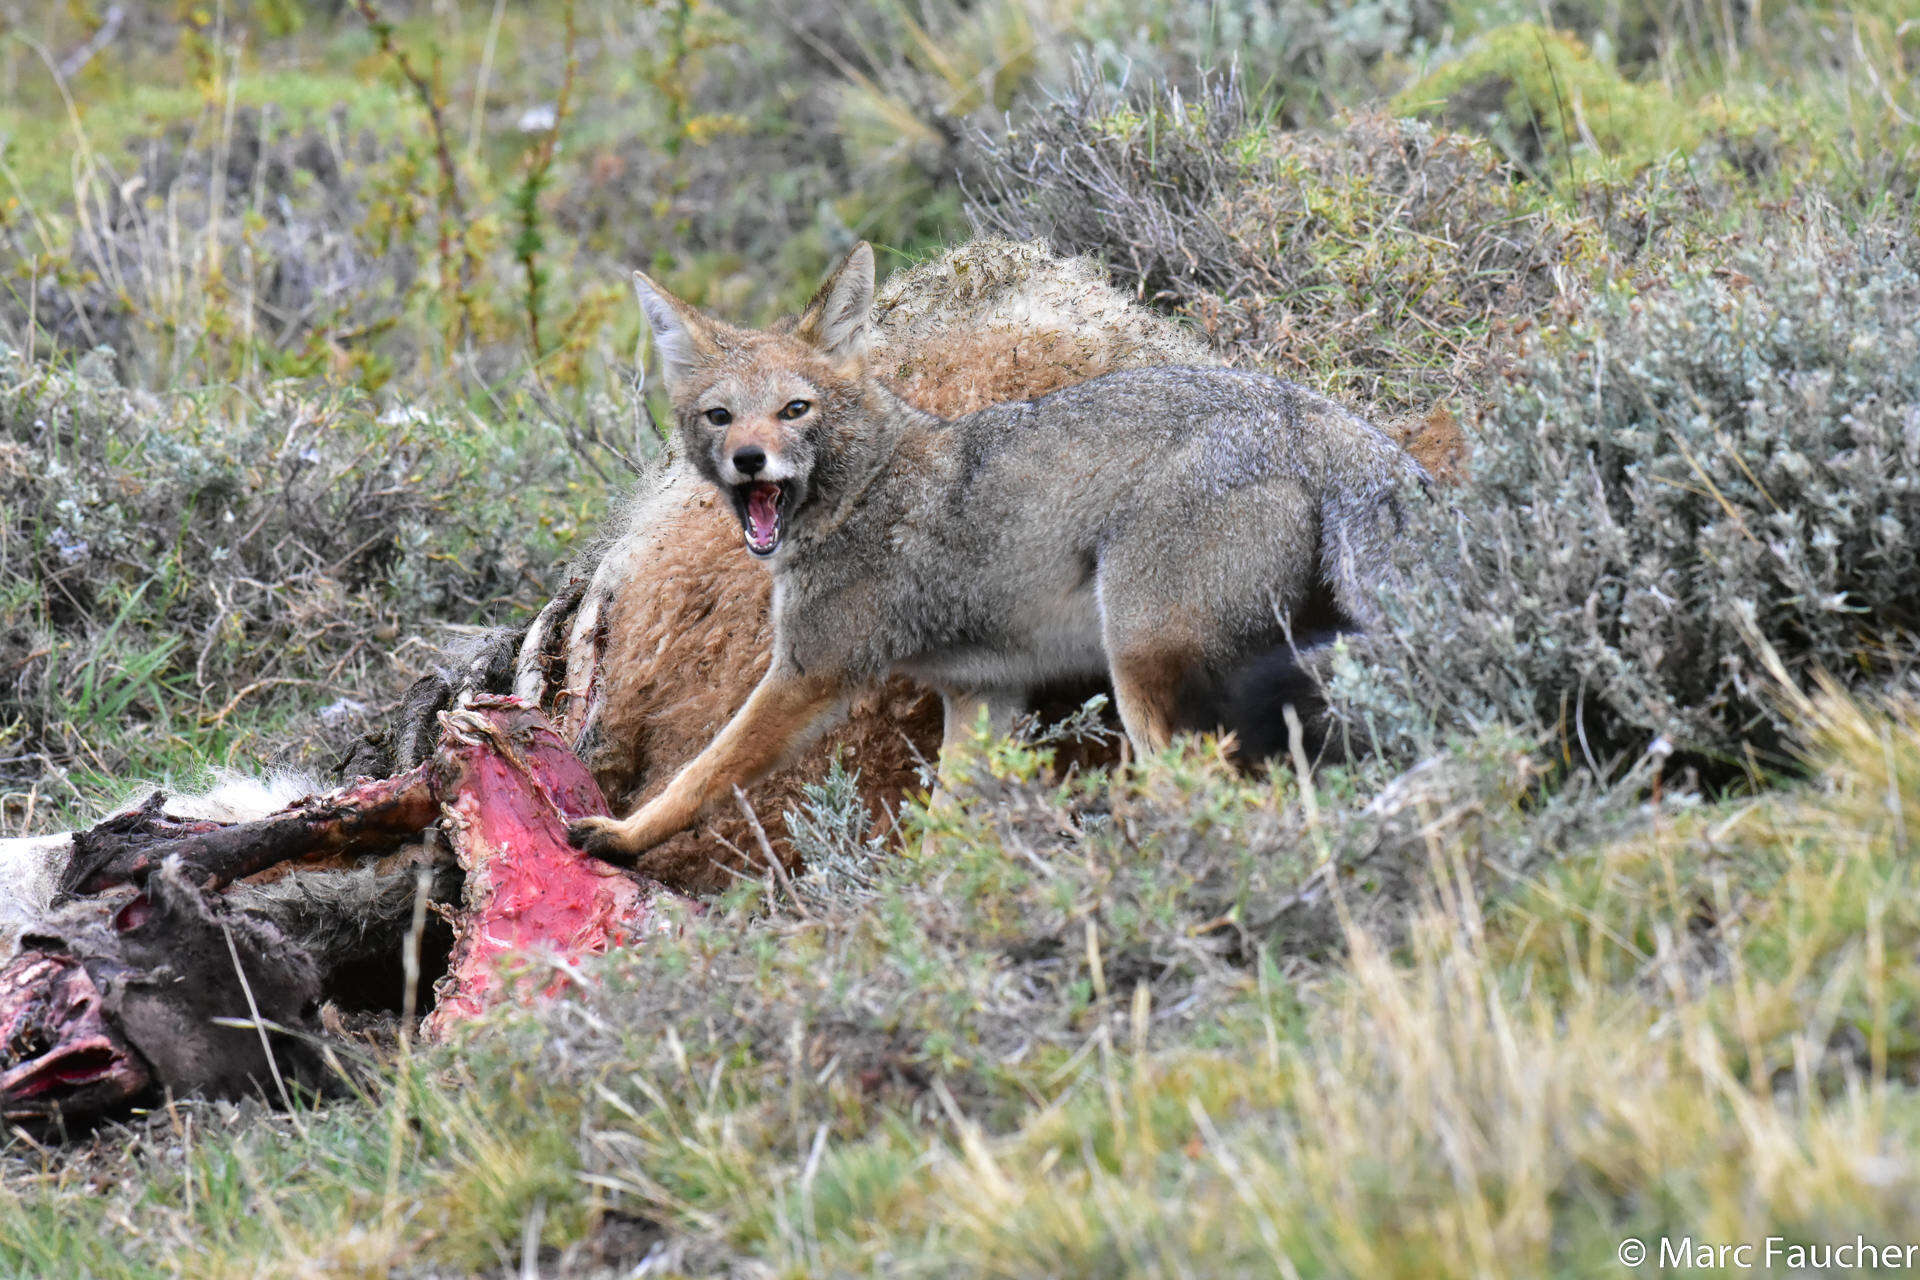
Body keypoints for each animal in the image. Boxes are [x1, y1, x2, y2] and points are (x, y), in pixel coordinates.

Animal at [568, 242, 1428, 859]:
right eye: (719, 416)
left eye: (794, 409)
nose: (750, 461)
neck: (865, 488)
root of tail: (1314, 414)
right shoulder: (983, 697)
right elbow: (947, 829)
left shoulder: (809, 676)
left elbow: (703, 771)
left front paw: (625, 837)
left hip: (1141, 668)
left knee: (1211, 792)